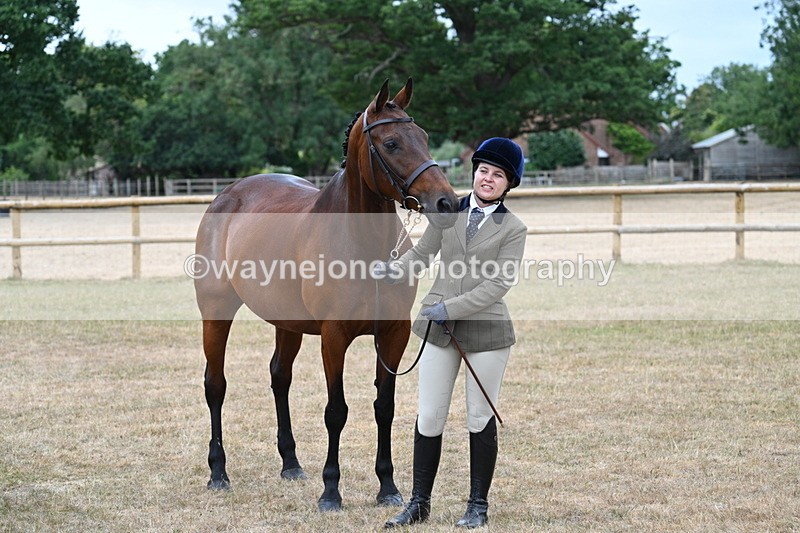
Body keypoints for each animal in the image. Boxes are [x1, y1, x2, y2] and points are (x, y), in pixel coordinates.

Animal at [193, 78, 459, 512]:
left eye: (423, 136)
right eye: (391, 143)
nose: (447, 202)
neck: (363, 245)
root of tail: (227, 196)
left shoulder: (393, 334)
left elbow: (384, 408)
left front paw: (387, 487)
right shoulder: (334, 337)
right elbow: (336, 411)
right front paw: (331, 491)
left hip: (287, 324)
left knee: (279, 378)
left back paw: (291, 464)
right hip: (216, 312)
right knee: (215, 385)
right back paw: (218, 473)